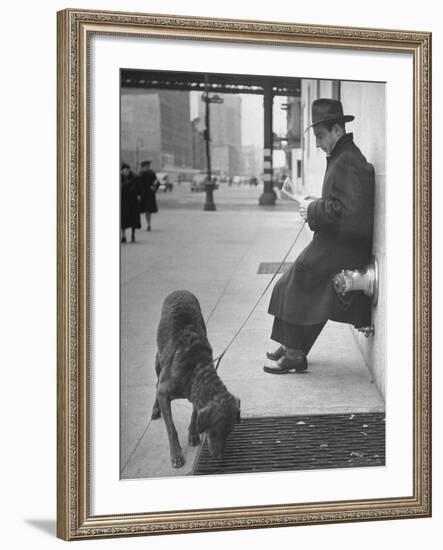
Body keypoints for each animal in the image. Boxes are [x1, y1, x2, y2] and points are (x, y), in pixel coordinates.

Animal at [153, 292, 243, 468]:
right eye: (214, 432)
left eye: (229, 433)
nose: (220, 458)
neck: (196, 370)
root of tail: (180, 290)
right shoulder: (163, 393)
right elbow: (171, 428)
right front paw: (176, 455)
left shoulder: (196, 395)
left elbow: (195, 412)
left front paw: (193, 433)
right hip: (158, 360)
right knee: (156, 383)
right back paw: (155, 409)